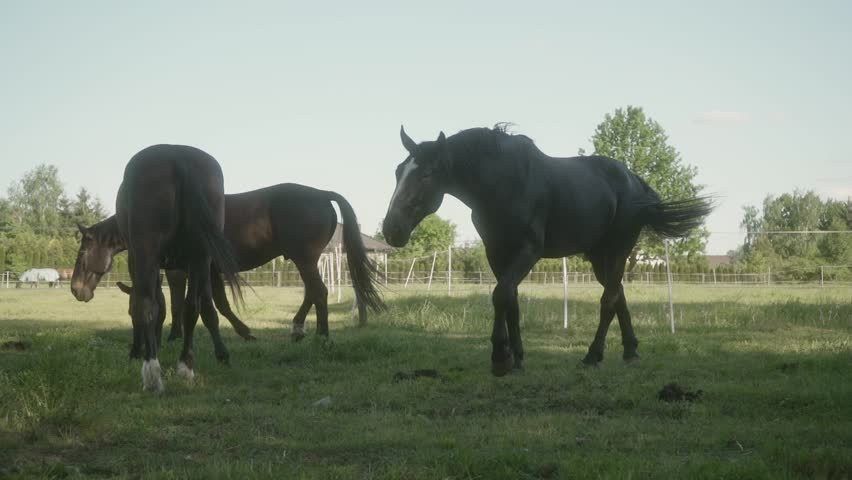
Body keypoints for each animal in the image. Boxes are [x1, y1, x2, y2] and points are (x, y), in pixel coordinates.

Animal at [71, 144, 243, 392]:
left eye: (82, 253)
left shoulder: (140, 264)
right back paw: (185, 366)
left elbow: (141, 307)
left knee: (146, 306)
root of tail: (178, 156)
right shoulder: (181, 268)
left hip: (148, 255)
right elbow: (182, 308)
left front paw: (137, 351)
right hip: (200, 257)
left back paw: (152, 374)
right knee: (192, 307)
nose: (75, 289)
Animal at [116, 183, 385, 345]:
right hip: (306, 260)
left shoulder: (198, 270)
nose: (137, 346)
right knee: (312, 291)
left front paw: (244, 331)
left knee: (318, 291)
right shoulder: (203, 271)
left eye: (132, 311)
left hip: (305, 258)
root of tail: (321, 193)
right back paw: (299, 328)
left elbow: (216, 304)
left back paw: (321, 334)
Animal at [382, 125, 713, 376]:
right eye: (398, 171)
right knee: (618, 294)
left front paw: (500, 358)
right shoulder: (497, 253)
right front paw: (516, 359)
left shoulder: (528, 251)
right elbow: (510, 300)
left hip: (618, 250)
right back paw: (630, 352)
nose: (391, 229)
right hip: (599, 258)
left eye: (426, 174)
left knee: (608, 300)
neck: (502, 182)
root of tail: (634, 182)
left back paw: (592, 356)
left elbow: (500, 295)